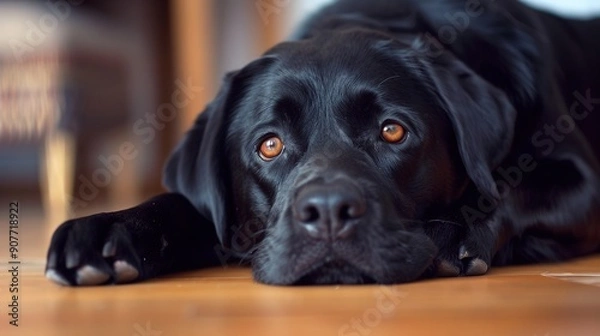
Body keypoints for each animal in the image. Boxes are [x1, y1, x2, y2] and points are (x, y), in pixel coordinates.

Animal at [43, 0, 600, 286]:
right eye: (269, 145)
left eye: (392, 130)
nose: (329, 211)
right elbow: (182, 205)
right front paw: (107, 232)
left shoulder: (582, 182)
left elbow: (507, 190)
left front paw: (457, 231)